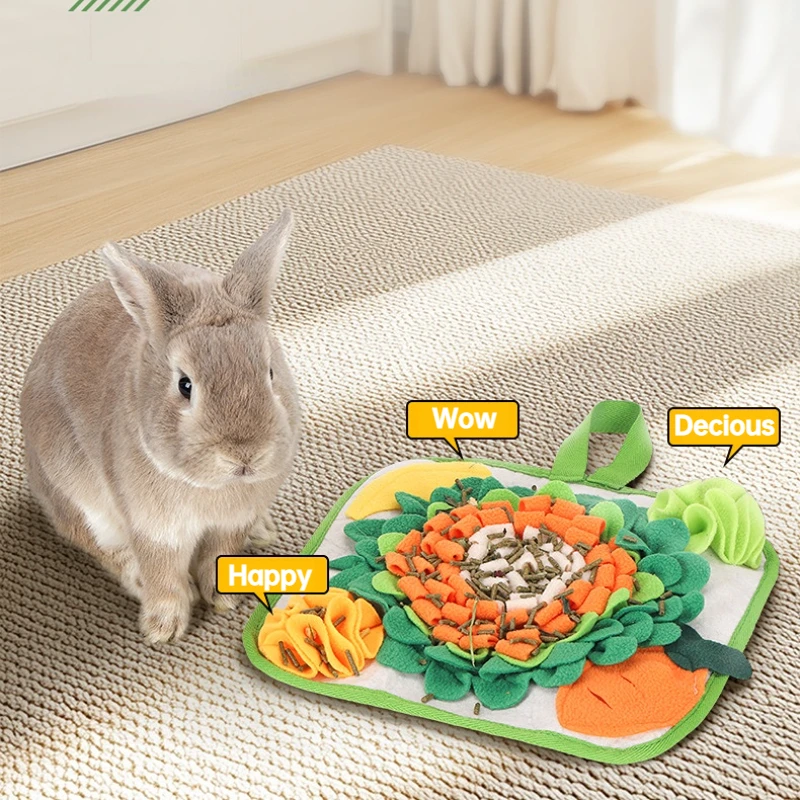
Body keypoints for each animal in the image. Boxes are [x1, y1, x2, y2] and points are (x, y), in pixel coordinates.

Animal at [20, 210, 300, 644]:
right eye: (185, 385)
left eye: (271, 372)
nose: (245, 454)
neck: (214, 488)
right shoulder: (154, 529)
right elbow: (161, 571)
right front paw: (164, 628)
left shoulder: (230, 524)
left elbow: (219, 555)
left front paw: (223, 599)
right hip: (78, 499)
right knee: (104, 548)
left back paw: (262, 532)